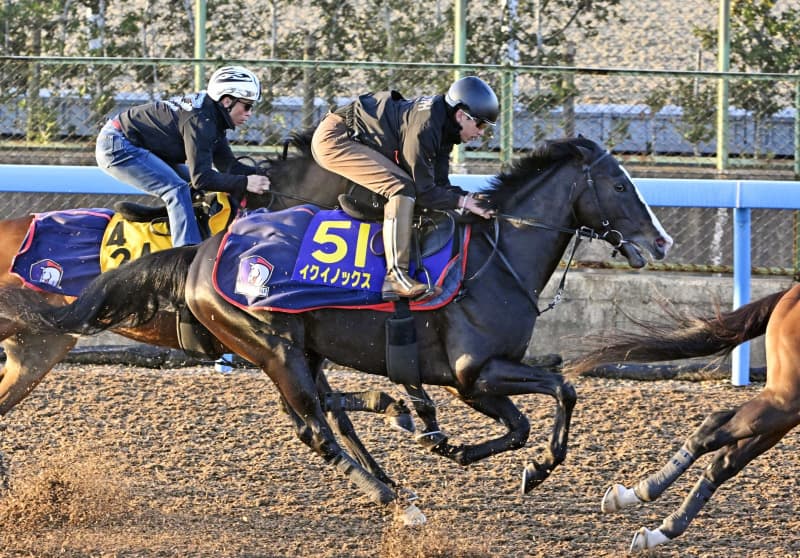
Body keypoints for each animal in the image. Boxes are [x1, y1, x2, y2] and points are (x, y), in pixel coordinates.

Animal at [25, 138, 672, 524]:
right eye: (620, 186)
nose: (662, 242)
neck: (498, 256)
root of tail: (203, 253)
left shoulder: (477, 380)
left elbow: (521, 423)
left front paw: (460, 448)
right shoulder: (473, 375)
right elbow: (561, 393)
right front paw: (529, 466)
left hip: (302, 350)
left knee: (330, 416)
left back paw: (397, 457)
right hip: (273, 349)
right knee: (315, 427)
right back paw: (387, 492)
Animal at [564, 284, 800, 552]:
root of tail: (790, 293)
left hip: (785, 410)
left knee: (725, 458)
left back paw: (654, 527)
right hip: (784, 401)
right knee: (712, 434)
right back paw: (643, 503)